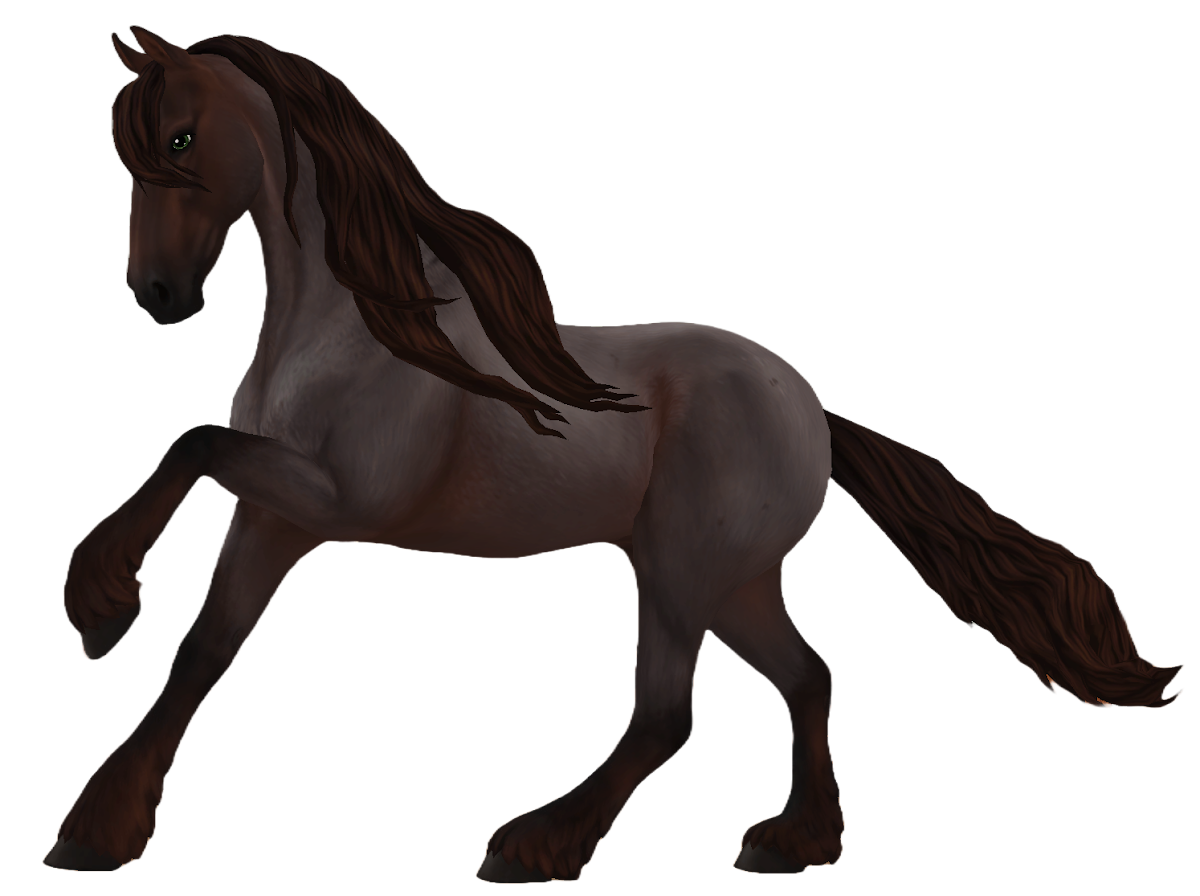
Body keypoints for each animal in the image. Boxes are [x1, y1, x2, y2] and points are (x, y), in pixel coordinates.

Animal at [44, 26, 1183, 877]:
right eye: (129, 151)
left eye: (180, 139)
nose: (159, 297)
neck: (350, 323)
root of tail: (814, 409)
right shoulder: (273, 515)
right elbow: (205, 648)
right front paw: (97, 826)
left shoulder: (336, 498)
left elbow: (191, 440)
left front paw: (100, 604)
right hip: (732, 581)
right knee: (806, 675)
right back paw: (792, 843)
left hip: (679, 571)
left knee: (668, 712)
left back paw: (534, 844)